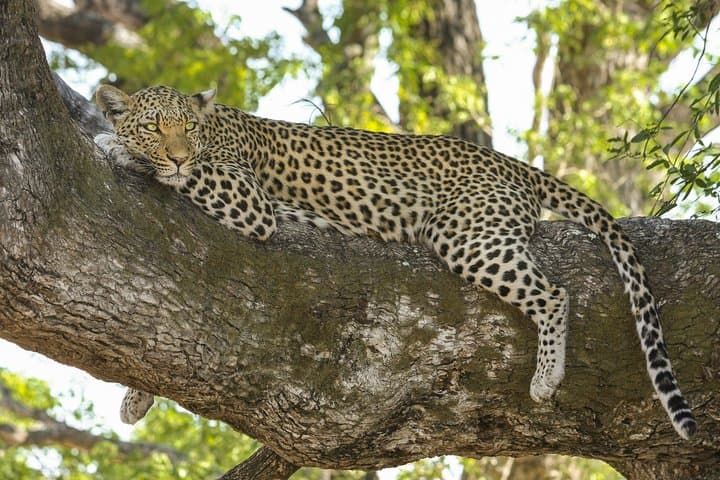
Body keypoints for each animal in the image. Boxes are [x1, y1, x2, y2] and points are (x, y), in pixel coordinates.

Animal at [94, 84, 696, 440]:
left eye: (187, 130)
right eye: (155, 126)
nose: (176, 153)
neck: (215, 127)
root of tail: (508, 161)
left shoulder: (248, 200)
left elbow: (189, 174)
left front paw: (113, 145)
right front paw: (136, 397)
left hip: (465, 233)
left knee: (554, 294)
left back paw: (547, 377)